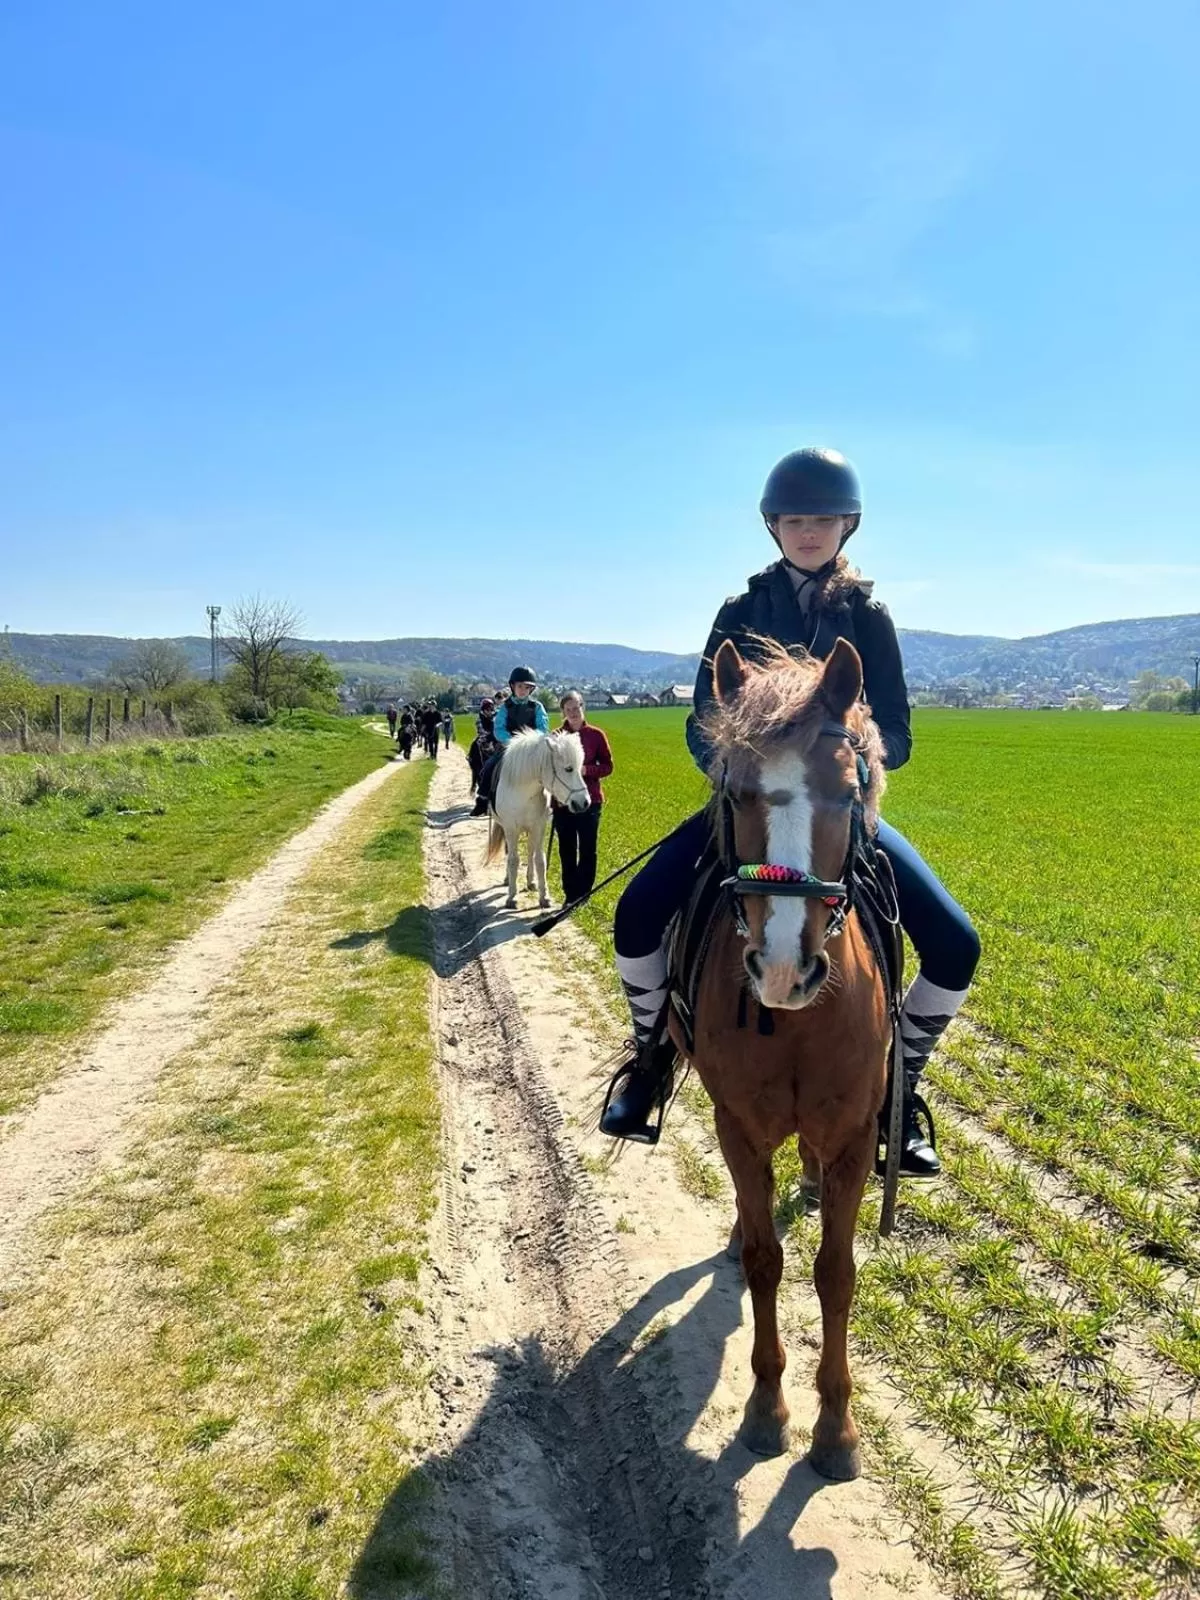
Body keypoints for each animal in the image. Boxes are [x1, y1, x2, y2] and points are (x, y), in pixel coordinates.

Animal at [485, 729, 590, 909]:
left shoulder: (538, 826)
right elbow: (513, 860)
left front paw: (544, 896)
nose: (584, 803)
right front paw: (512, 897)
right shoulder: (511, 828)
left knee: (530, 850)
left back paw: (530, 881)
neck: (522, 789)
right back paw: (508, 879)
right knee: (510, 853)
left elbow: (540, 860)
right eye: (568, 769)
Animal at [672, 635, 891, 1480]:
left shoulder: (856, 1137)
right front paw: (767, 1410)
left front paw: (836, 1428)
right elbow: (767, 1259)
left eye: (849, 792)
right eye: (735, 793)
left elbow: (836, 1271)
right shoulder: (737, 1125)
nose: (782, 969)